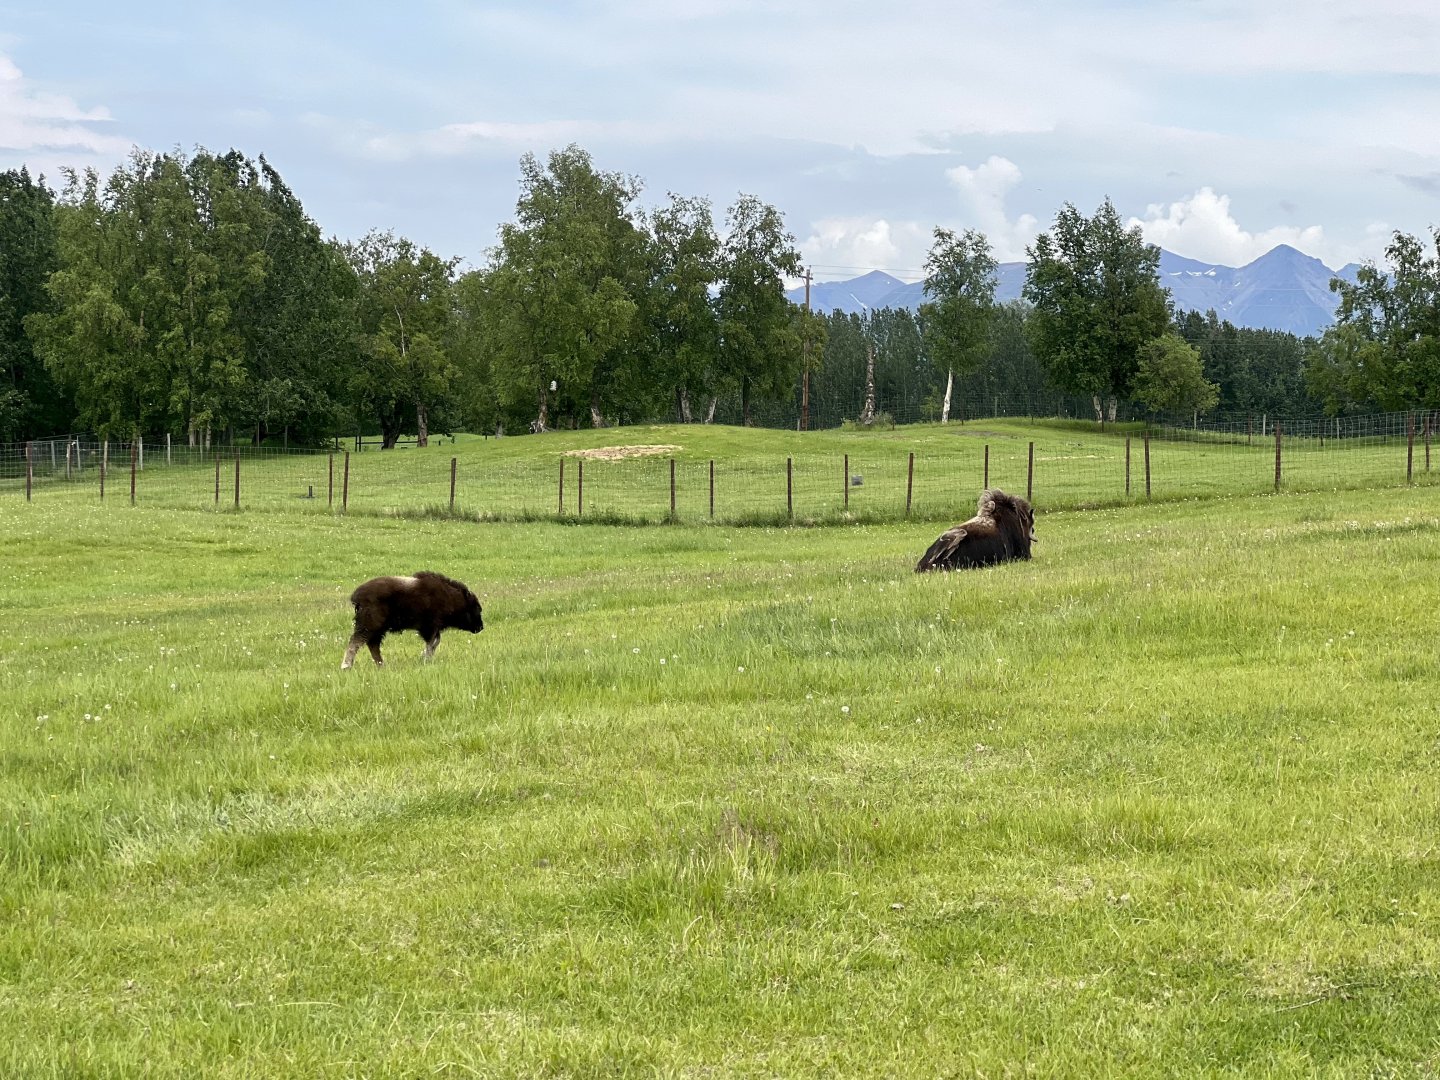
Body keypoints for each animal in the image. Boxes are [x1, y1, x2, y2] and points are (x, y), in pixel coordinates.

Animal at [341, 571, 484, 669]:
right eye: (476, 608)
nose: (481, 627)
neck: (451, 597)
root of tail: (356, 596)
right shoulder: (429, 627)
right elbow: (431, 643)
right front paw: (426, 659)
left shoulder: (433, 628)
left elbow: (435, 642)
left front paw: (425, 658)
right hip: (370, 625)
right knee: (357, 642)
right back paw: (346, 666)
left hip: (377, 629)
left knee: (372, 645)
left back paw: (381, 665)